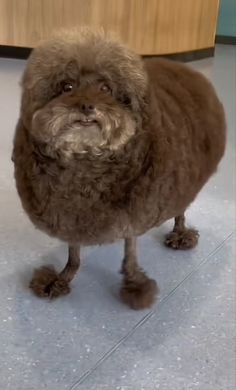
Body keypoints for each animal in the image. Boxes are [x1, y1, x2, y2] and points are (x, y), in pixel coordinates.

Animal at [12, 29, 226, 310]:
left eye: (105, 88)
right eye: (67, 86)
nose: (86, 106)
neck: (85, 160)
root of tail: (185, 68)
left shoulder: (134, 211)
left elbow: (130, 252)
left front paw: (134, 284)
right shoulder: (69, 213)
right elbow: (73, 252)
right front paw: (61, 278)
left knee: (180, 208)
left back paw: (180, 234)